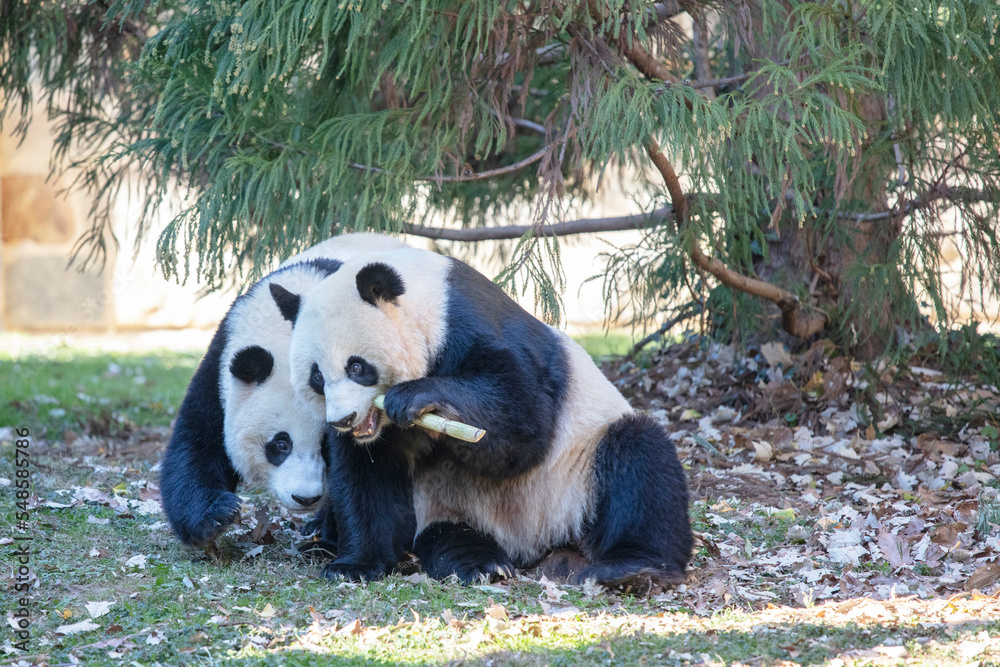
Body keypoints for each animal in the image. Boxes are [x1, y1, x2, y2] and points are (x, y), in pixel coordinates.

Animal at [160, 233, 408, 546]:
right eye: (281, 444)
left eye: (325, 445)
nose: (305, 498)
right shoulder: (221, 367)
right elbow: (198, 442)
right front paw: (216, 515)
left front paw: (327, 531)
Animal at [288, 246, 692, 587]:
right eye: (317, 377)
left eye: (357, 367)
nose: (343, 420)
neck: (428, 296)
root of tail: (539, 546)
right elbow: (365, 474)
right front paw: (354, 566)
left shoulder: (469, 325)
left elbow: (523, 415)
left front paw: (415, 398)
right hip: (453, 506)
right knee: (451, 535)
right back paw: (483, 565)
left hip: (580, 469)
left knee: (639, 461)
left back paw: (632, 568)